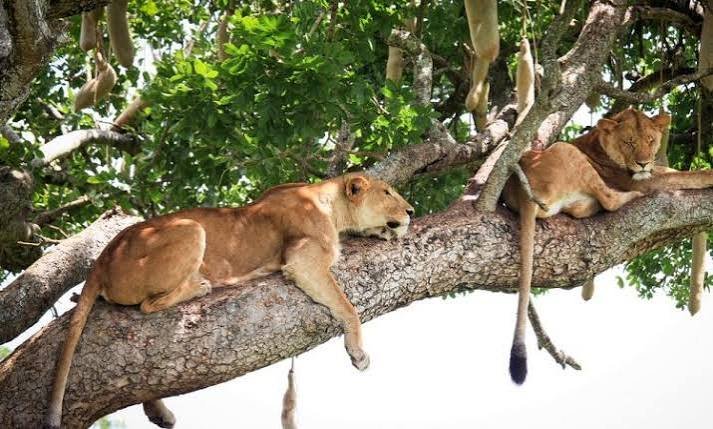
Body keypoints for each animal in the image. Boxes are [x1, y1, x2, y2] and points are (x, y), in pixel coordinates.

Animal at [45, 172, 414, 429]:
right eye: (387, 192)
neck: (330, 204)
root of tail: (102, 259)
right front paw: (358, 353)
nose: (411, 211)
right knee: (148, 305)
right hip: (190, 228)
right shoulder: (303, 260)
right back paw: (200, 286)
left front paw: (384, 231)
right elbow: (347, 305)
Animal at [502, 107, 713, 384]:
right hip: (567, 150)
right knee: (610, 200)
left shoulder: (651, 170)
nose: (643, 163)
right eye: (629, 142)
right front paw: (709, 174)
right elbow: (687, 175)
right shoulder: (641, 180)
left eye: (650, 140)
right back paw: (629, 198)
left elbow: (673, 170)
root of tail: (519, 192)